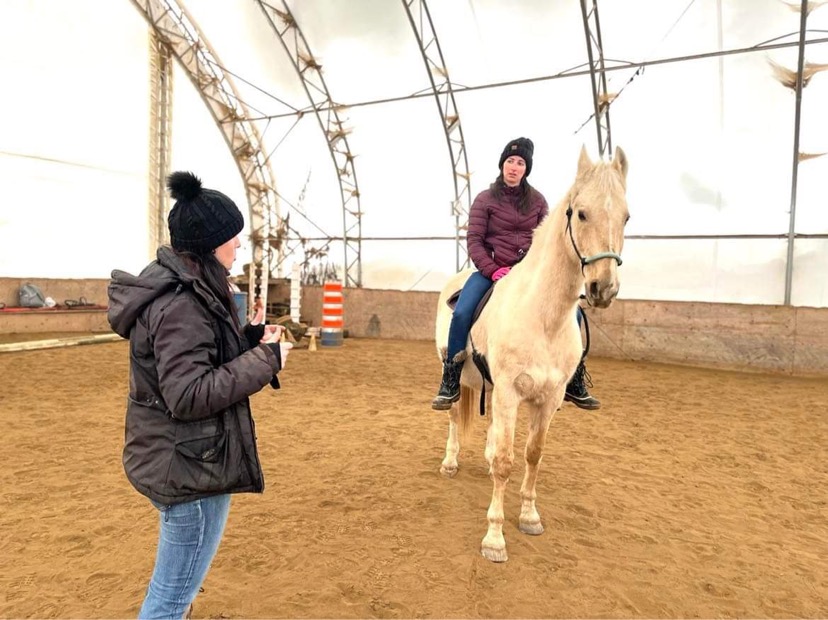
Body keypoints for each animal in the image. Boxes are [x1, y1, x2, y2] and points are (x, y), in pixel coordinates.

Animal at [433, 145, 629, 562]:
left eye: (626, 216)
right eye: (581, 213)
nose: (603, 287)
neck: (542, 316)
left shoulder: (547, 398)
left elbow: (532, 454)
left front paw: (528, 516)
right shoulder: (509, 391)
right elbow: (506, 461)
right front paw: (494, 538)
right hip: (459, 376)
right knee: (455, 416)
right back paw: (450, 462)